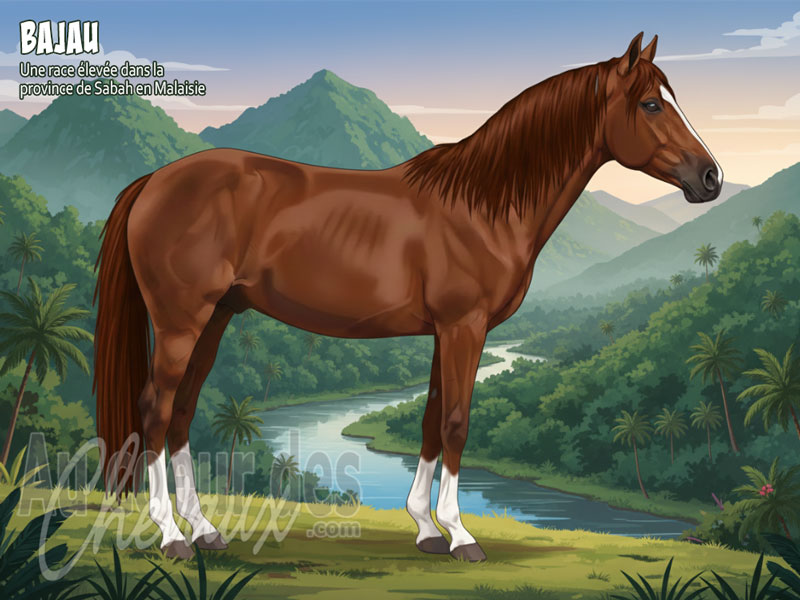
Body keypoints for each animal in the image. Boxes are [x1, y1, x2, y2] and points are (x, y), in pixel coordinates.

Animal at [94, 32, 722, 561]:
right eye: (651, 104)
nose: (711, 177)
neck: (483, 206)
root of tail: (153, 181)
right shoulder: (465, 327)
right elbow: (457, 423)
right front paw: (462, 536)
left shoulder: (450, 331)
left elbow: (429, 421)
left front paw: (425, 527)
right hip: (181, 321)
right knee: (156, 410)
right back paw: (171, 535)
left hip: (216, 317)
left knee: (182, 412)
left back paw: (204, 529)